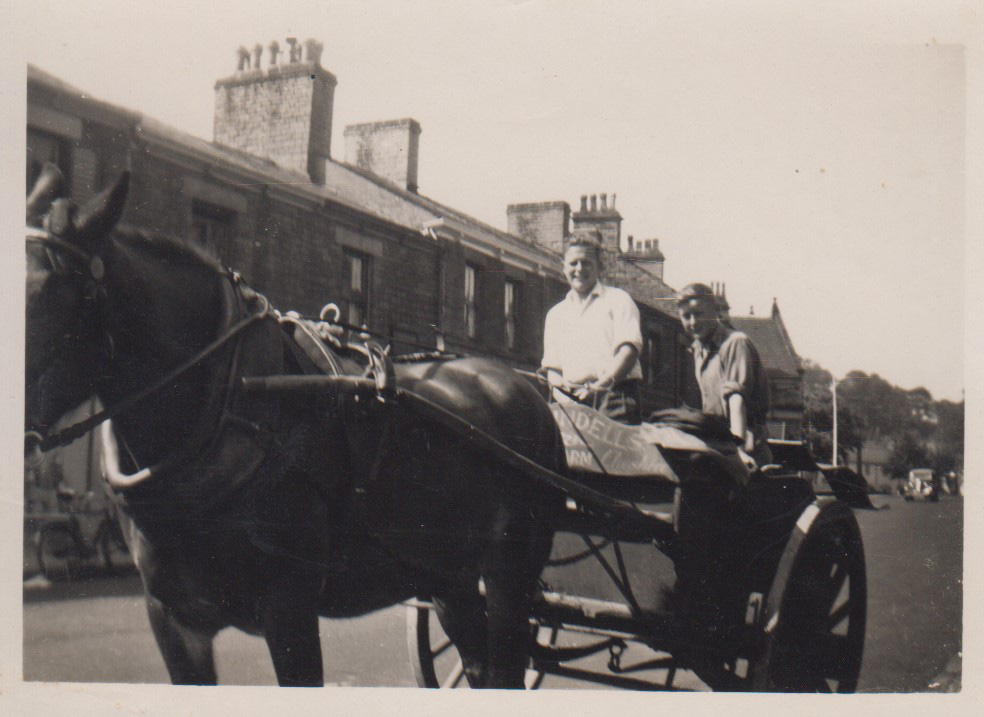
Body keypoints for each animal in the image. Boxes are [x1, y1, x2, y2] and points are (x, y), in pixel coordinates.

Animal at [26, 165, 564, 684]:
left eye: (52, 293)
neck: (229, 403)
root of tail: (521, 386)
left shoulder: (289, 610)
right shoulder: (174, 619)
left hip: (510, 576)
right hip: (449, 577)